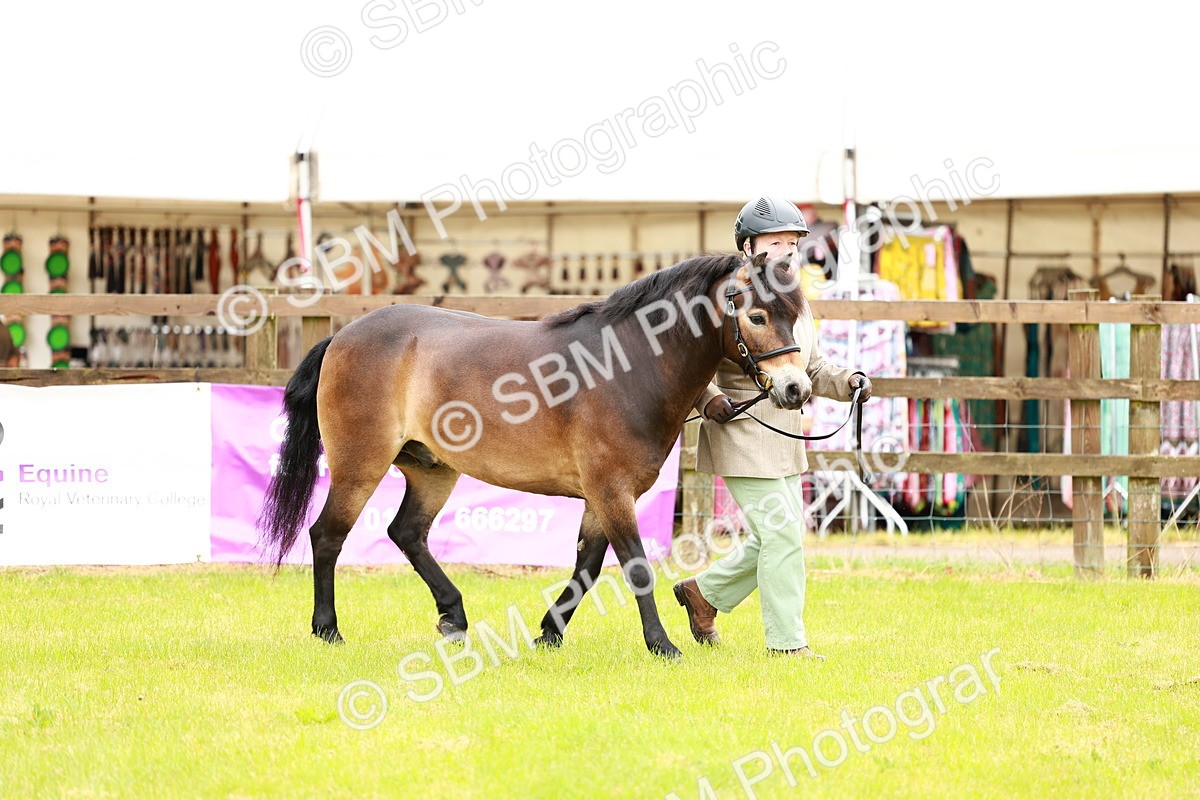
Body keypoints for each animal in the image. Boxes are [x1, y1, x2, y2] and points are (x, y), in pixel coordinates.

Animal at [257, 251, 813, 659]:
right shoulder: (612, 490)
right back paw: (328, 629)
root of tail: (342, 336)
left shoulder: (602, 495)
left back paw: (453, 616)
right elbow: (634, 566)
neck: (626, 367)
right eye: (757, 315)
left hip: (433, 470)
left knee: (406, 533)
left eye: (796, 316)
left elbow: (587, 564)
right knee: (328, 536)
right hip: (360, 465)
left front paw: (549, 632)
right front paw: (662, 645)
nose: (796, 390)